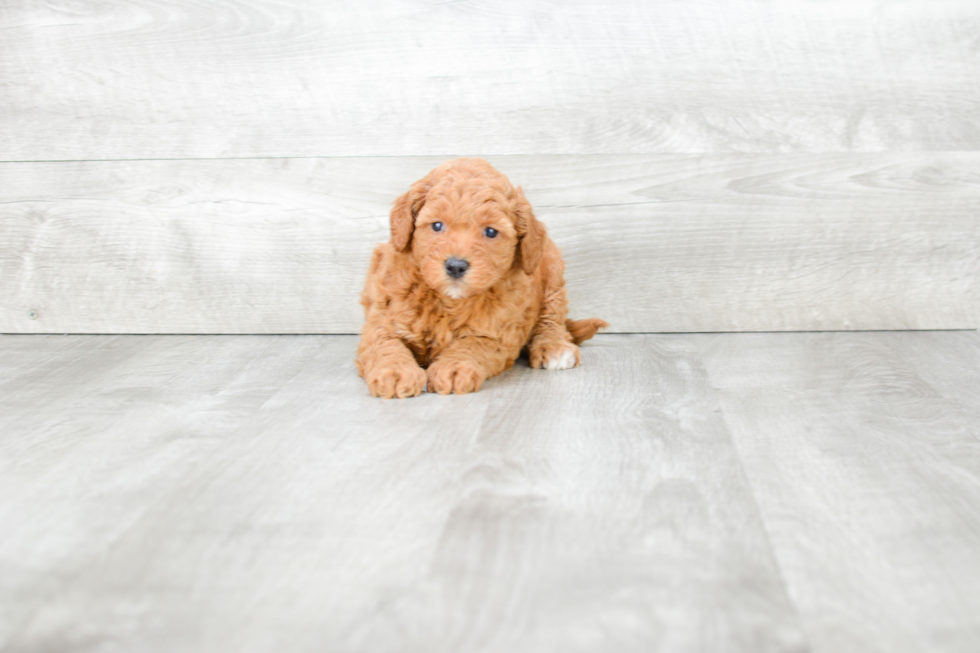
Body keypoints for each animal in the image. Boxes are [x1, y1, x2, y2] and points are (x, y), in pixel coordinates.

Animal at [356, 158, 608, 398]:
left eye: (490, 232)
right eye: (437, 225)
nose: (456, 266)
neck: (448, 301)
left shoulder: (498, 333)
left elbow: (474, 344)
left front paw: (454, 367)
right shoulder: (384, 315)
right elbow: (385, 345)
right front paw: (394, 372)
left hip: (552, 272)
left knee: (552, 318)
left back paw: (554, 346)